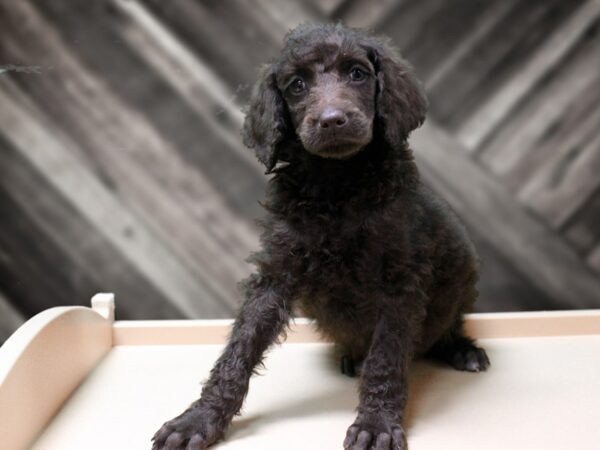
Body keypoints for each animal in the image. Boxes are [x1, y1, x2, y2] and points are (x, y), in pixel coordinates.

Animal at [152, 22, 490, 450]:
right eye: (296, 85)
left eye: (358, 74)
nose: (331, 120)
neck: (337, 186)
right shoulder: (276, 272)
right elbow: (240, 349)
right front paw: (199, 418)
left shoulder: (400, 281)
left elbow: (386, 357)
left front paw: (376, 424)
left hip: (462, 276)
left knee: (448, 324)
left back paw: (462, 350)